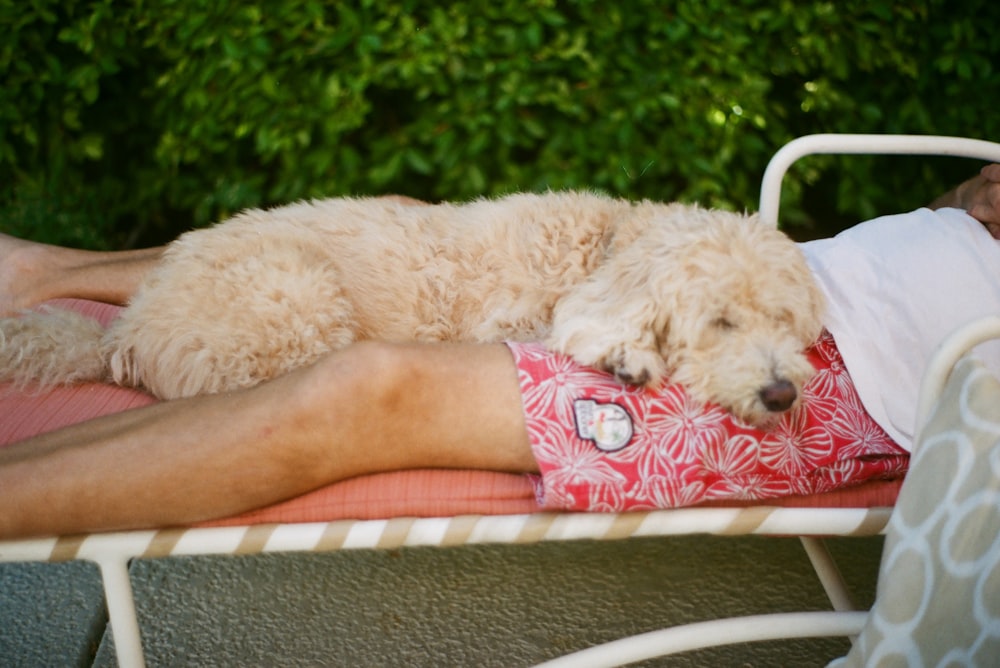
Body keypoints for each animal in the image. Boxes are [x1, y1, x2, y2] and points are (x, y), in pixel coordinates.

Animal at [3, 190, 824, 426]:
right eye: (720, 323)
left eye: (785, 323)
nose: (782, 394)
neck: (605, 243)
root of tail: (127, 328)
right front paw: (626, 356)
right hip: (298, 303)